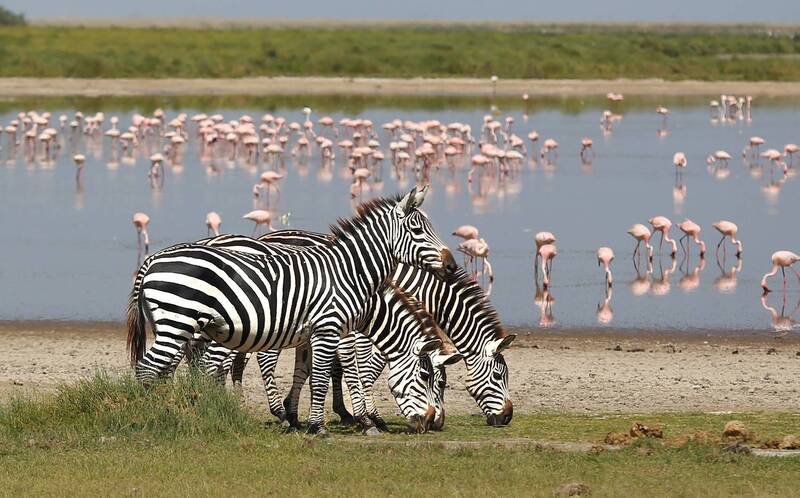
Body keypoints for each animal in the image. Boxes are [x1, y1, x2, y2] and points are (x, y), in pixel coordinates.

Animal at [126, 186, 458, 434]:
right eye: (427, 377)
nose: (430, 423)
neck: (349, 273)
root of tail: (152, 259)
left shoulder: (311, 333)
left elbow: (308, 371)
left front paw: (298, 416)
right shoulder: (331, 329)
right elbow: (333, 373)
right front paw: (331, 424)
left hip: (182, 326)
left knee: (169, 367)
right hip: (177, 322)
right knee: (149, 368)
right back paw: (151, 417)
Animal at [203, 229, 516, 429]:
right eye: (499, 376)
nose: (507, 418)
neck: (419, 285)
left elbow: (320, 368)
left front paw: (320, 413)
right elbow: (366, 369)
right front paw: (367, 417)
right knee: (254, 360)